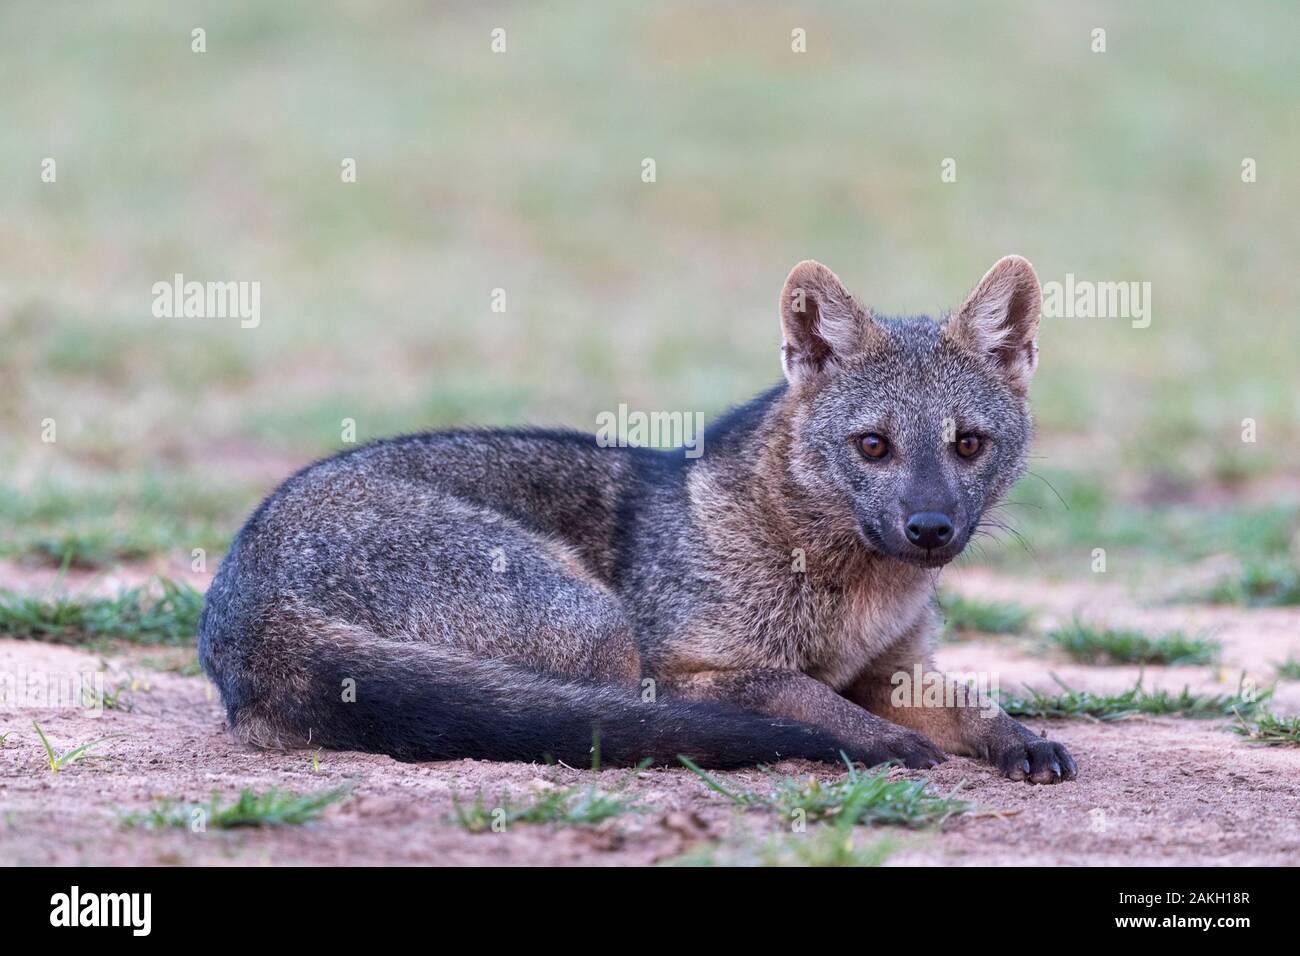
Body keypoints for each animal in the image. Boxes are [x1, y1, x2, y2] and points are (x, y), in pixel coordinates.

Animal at [197, 254, 1076, 785]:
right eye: (873, 445)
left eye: (967, 444)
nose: (930, 528)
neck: (855, 600)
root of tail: (241, 598)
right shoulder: (693, 667)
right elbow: (806, 694)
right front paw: (876, 740)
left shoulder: (890, 667)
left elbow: (971, 701)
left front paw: (1020, 738)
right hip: (602, 633)